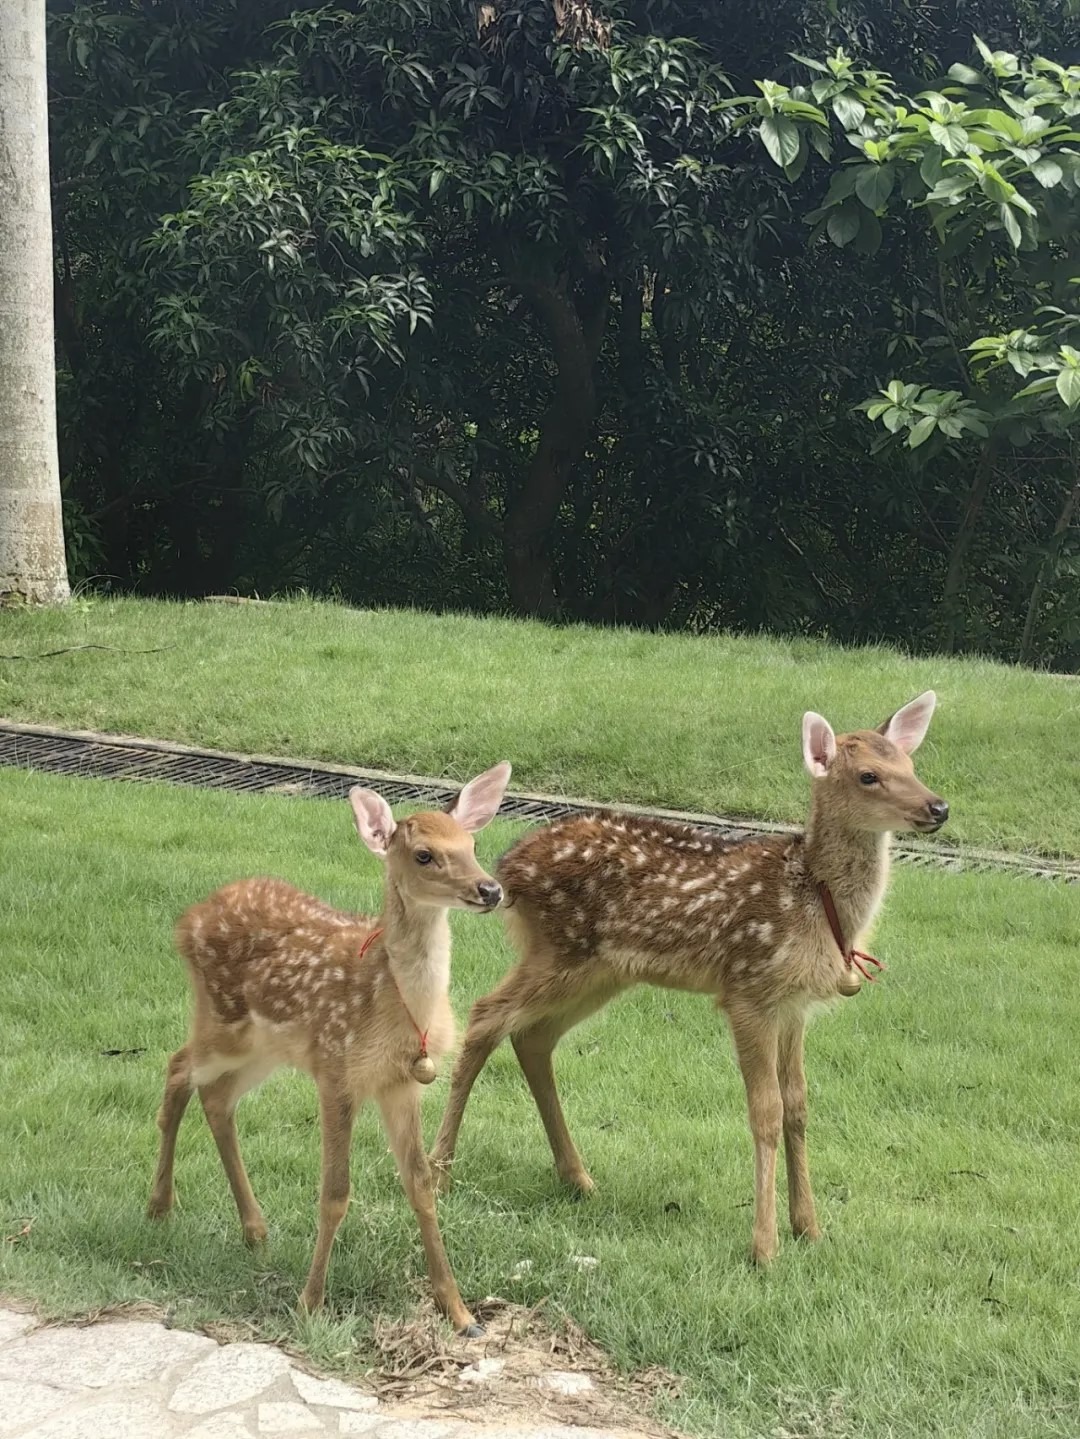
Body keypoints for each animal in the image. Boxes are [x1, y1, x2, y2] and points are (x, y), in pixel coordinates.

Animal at [148, 765, 514, 1335]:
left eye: (473, 844)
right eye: (424, 855)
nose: (490, 889)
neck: (397, 1002)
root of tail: (188, 919)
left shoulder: (399, 1081)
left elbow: (420, 1186)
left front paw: (459, 1312)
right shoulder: (337, 1070)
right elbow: (335, 1193)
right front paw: (310, 1303)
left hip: (266, 1048)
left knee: (217, 1097)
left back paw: (254, 1228)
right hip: (224, 1022)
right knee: (178, 1066)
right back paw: (160, 1206)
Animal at [434, 702, 949, 1266]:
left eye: (911, 764)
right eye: (869, 776)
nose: (939, 807)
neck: (815, 900)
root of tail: (507, 869)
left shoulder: (793, 1007)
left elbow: (798, 1107)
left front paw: (809, 1228)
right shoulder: (748, 989)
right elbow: (766, 1111)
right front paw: (764, 1248)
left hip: (600, 971)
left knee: (532, 1037)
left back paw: (578, 1178)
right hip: (560, 950)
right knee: (485, 1014)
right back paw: (439, 1173)